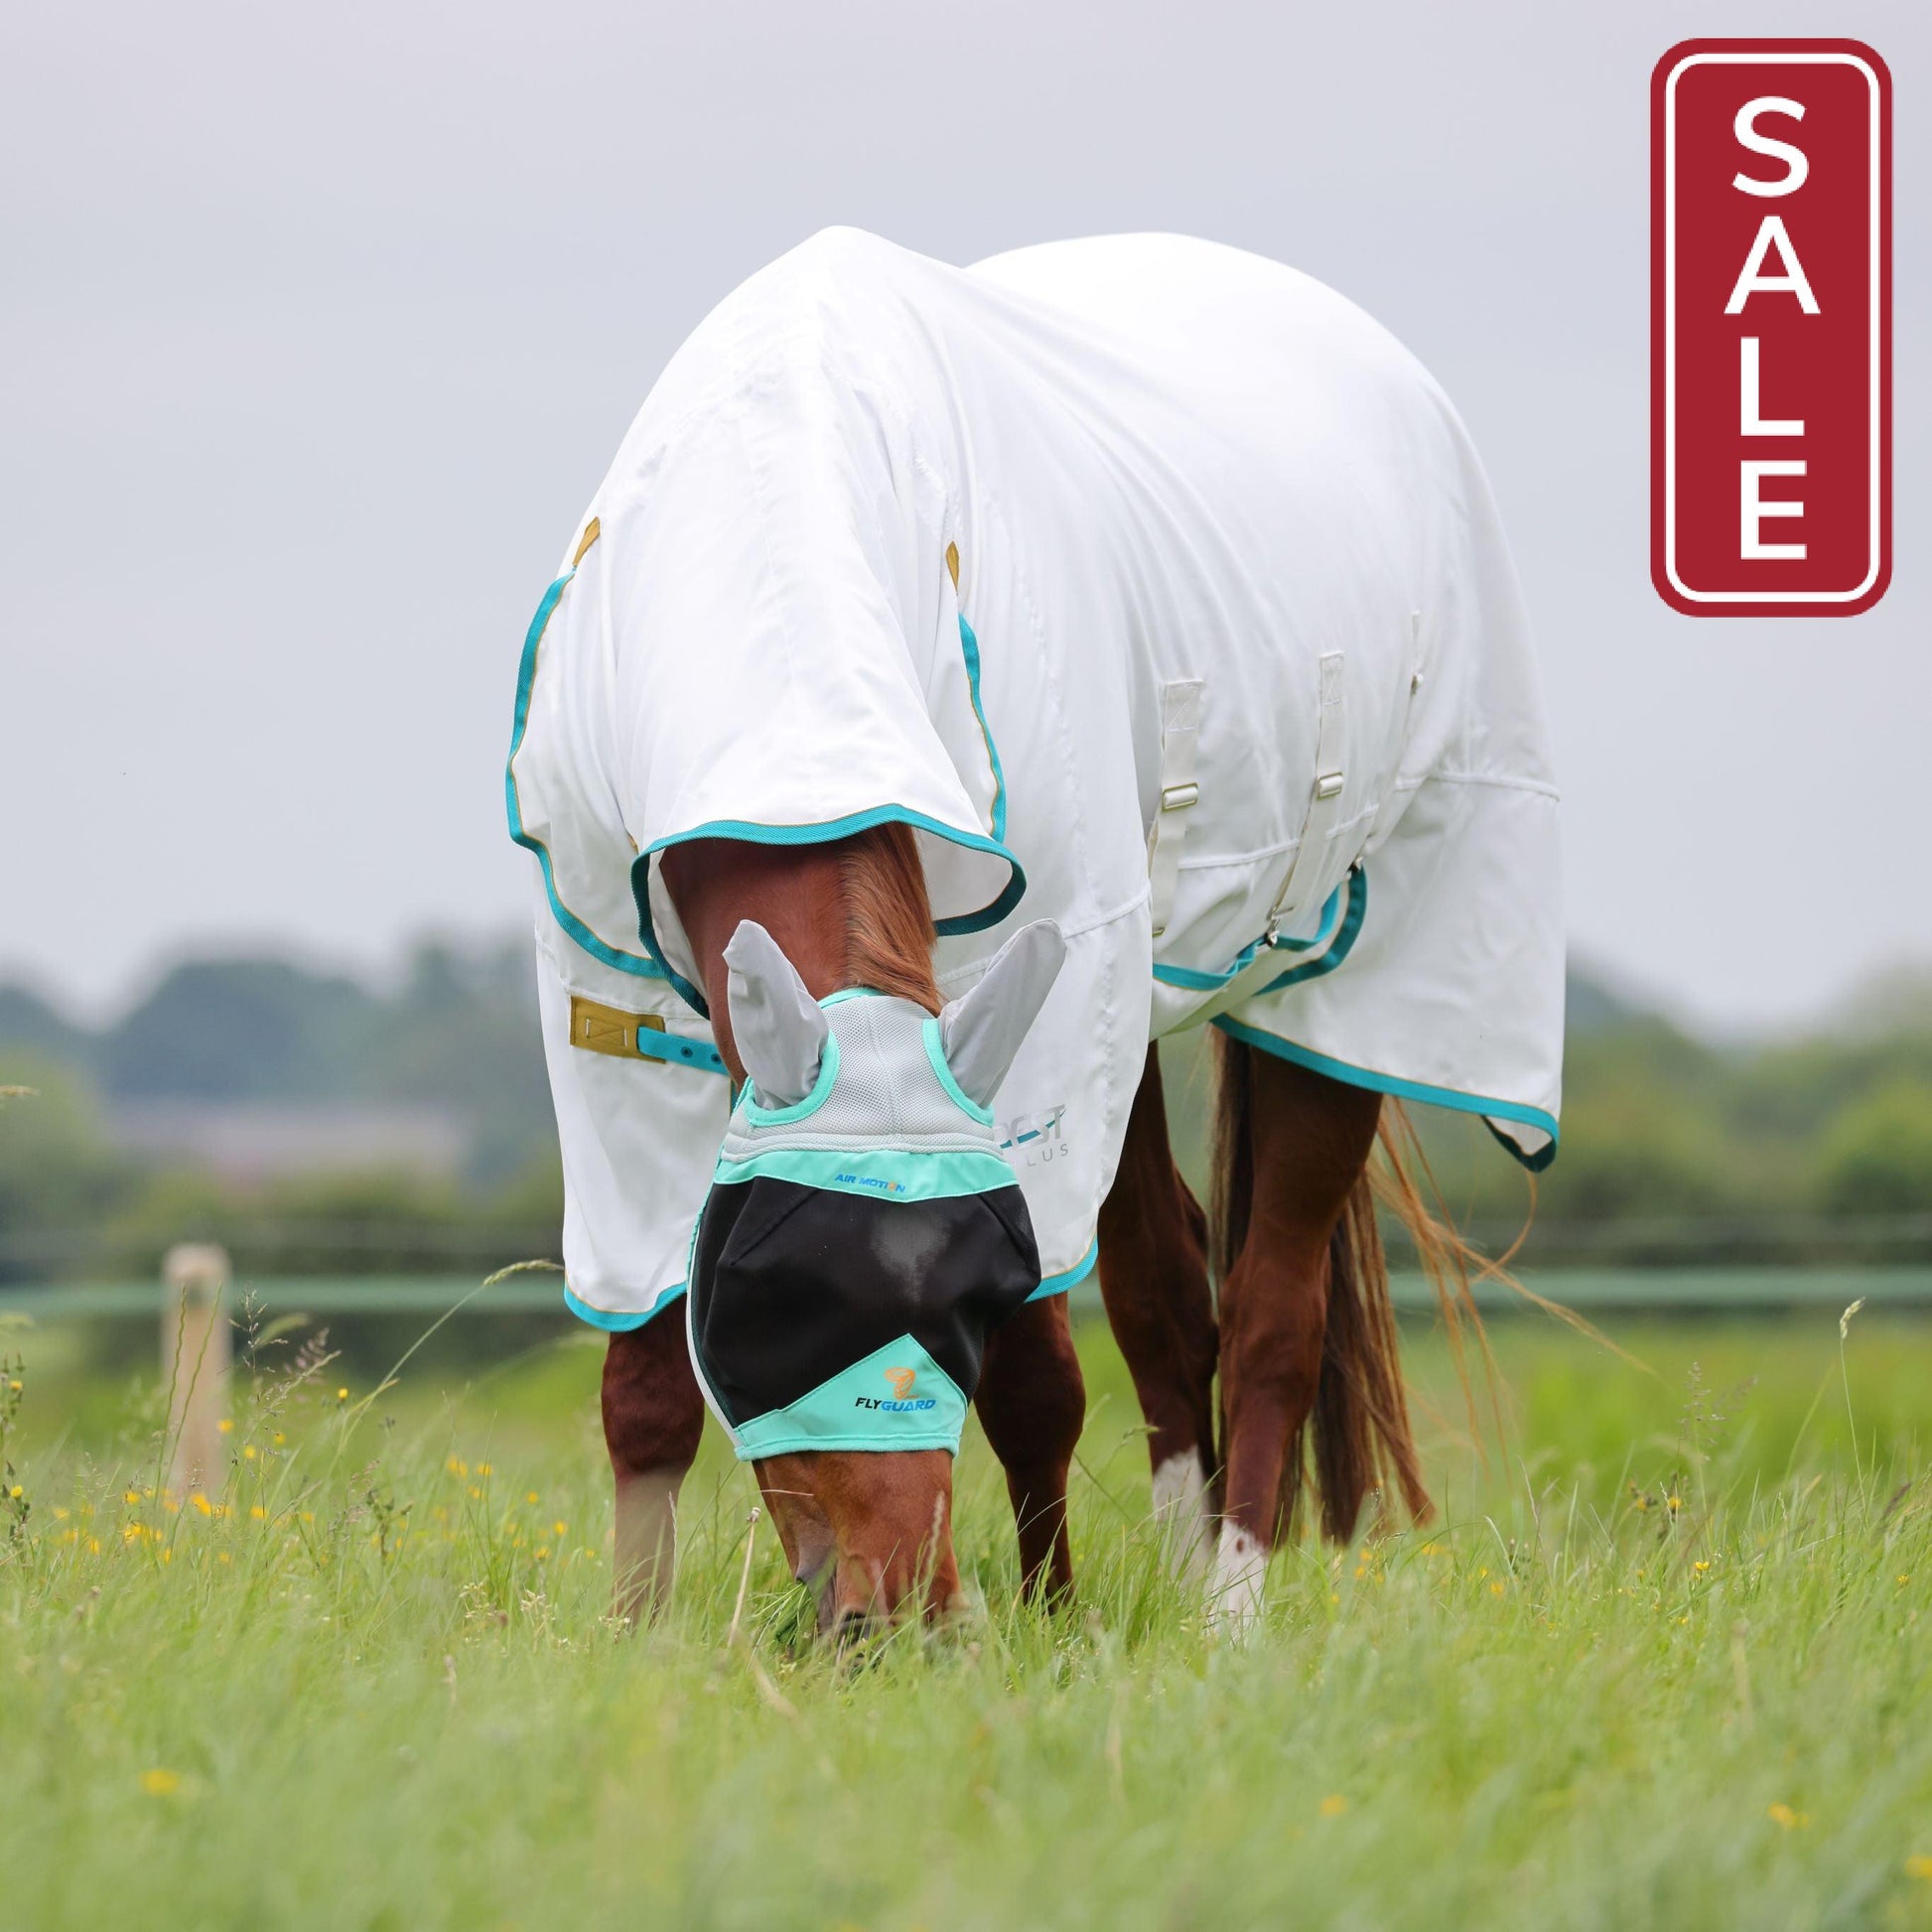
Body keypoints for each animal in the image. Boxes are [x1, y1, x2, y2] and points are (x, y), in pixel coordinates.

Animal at [507, 229, 1563, 1635]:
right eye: (774, 1298)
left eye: (975, 1287)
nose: (889, 1614)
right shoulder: (611, 1021)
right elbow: (644, 1382)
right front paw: (634, 1636)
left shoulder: (1048, 1005)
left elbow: (1038, 1377)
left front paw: (1049, 1623)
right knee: (1169, 1289)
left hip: (1341, 981)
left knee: (1269, 1309)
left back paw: (1226, 1611)